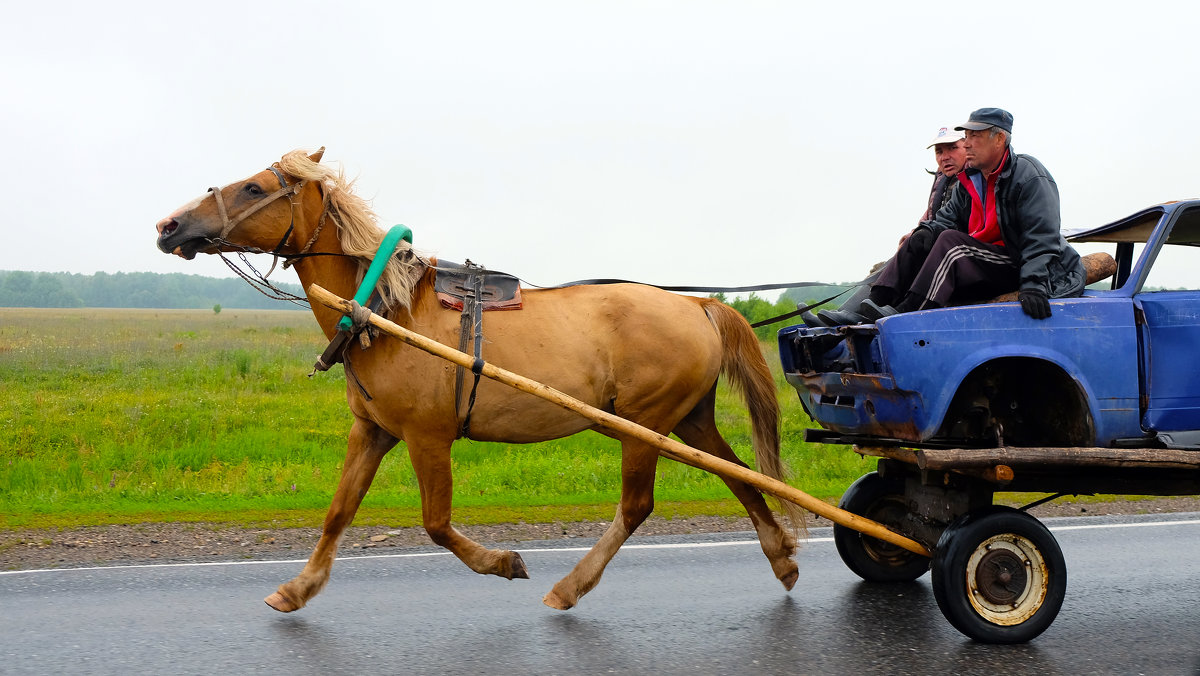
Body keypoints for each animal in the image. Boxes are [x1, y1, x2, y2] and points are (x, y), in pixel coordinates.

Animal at [154, 149, 801, 614]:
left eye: (253, 189)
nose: (168, 224)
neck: (388, 312)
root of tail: (697, 305)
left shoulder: (427, 436)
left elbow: (437, 524)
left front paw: (503, 561)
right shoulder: (372, 432)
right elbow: (338, 512)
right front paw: (298, 588)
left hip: (645, 424)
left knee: (638, 505)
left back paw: (571, 586)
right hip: (684, 420)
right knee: (739, 475)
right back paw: (782, 558)